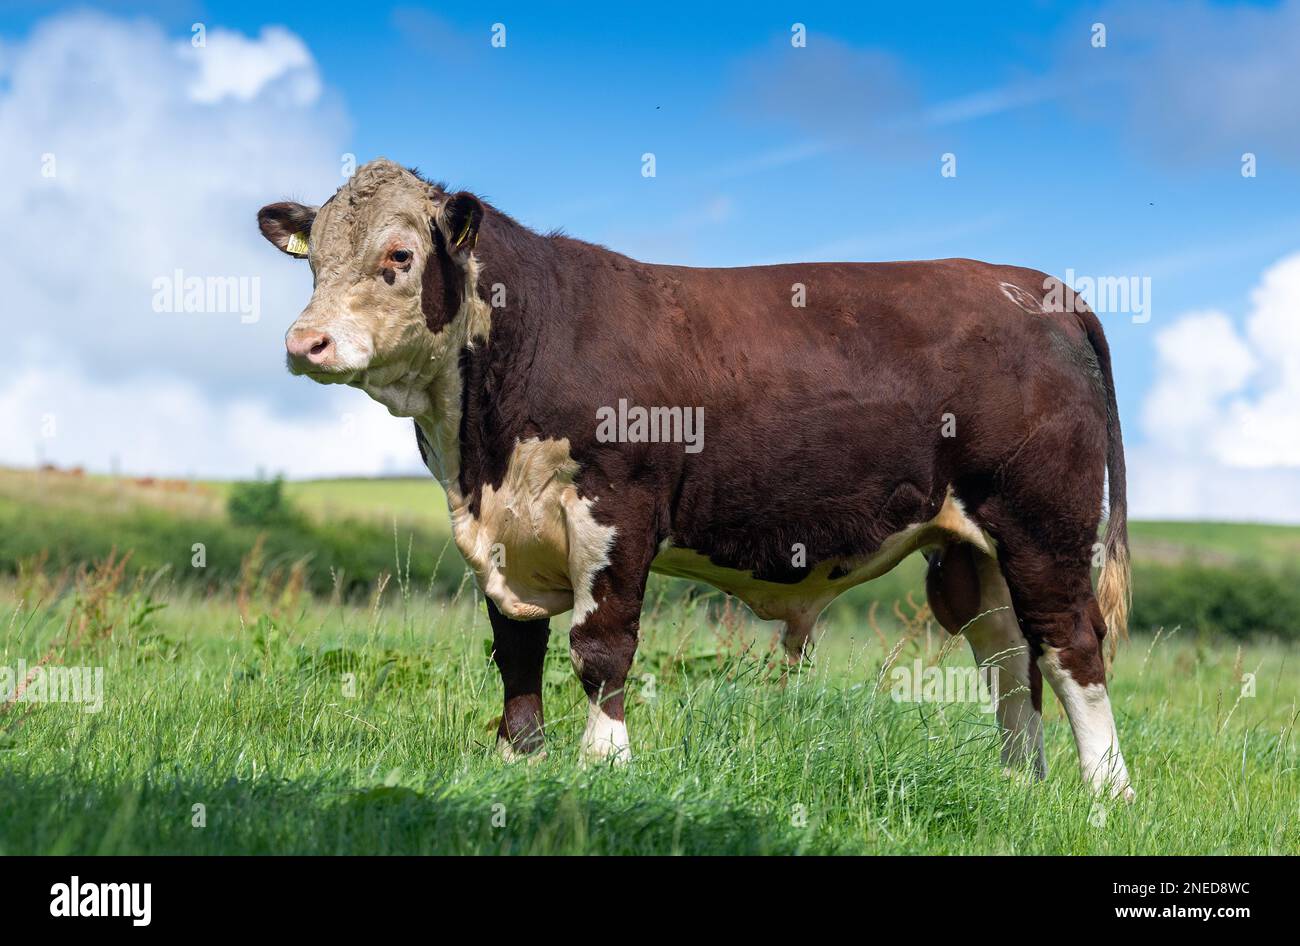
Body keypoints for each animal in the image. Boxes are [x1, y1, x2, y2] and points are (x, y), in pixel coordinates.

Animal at [258, 158, 1134, 799]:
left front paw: (604, 762)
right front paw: (518, 761)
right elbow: (515, 650)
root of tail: (1039, 289)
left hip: (1041, 524)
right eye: (316, 263)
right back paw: (1020, 785)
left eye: (398, 257)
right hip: (974, 547)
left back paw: (1105, 794)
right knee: (1009, 656)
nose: (304, 343)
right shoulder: (501, 536)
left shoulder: (616, 510)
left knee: (1070, 644)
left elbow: (601, 646)